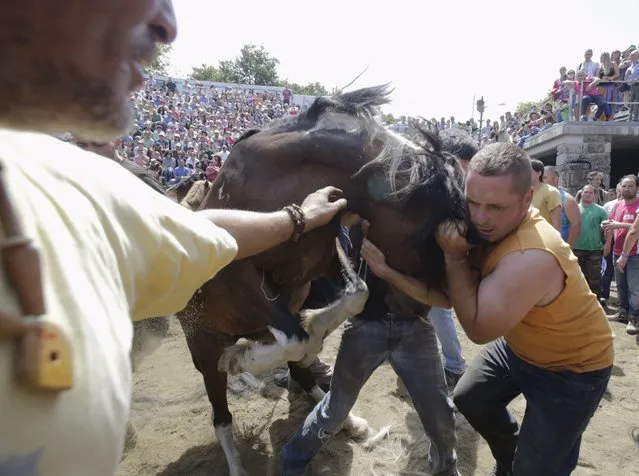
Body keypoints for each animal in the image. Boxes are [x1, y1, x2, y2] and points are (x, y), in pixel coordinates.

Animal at [175, 85, 476, 476]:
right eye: (432, 242)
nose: (422, 307)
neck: (285, 177)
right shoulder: (239, 276)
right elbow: (295, 339)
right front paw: (243, 359)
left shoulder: (329, 252)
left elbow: (354, 296)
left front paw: (313, 322)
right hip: (204, 346)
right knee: (221, 418)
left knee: (302, 377)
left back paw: (350, 422)